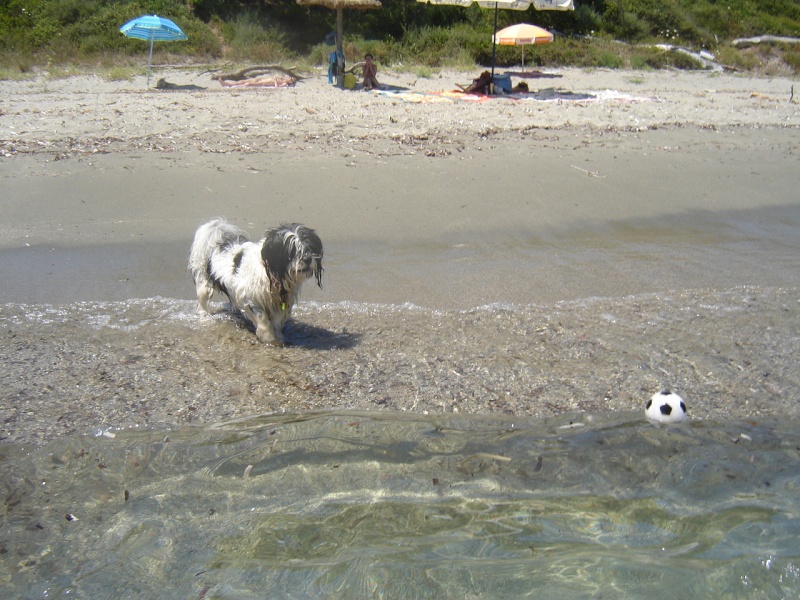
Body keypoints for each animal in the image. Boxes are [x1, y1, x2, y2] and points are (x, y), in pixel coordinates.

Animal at [189, 218, 324, 344]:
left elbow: (277, 320)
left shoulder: (282, 303)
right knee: (202, 304)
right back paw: (205, 318)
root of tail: (217, 241)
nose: (307, 259)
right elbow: (262, 317)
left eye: (309, 247)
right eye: (291, 251)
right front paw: (268, 337)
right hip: (204, 286)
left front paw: (278, 337)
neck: (270, 274)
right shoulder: (250, 298)